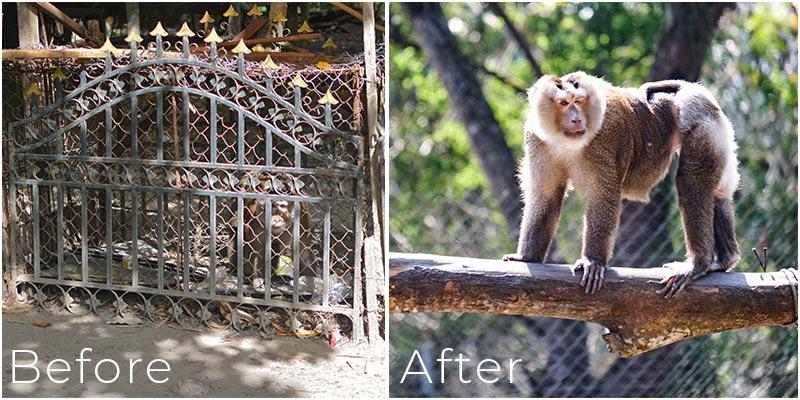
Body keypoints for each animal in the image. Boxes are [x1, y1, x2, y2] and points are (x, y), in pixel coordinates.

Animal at [504, 72, 740, 296]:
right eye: (564, 103)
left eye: (578, 101)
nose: (577, 119)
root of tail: (691, 90)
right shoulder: (536, 138)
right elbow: (546, 194)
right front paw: (527, 256)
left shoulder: (604, 137)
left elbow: (602, 196)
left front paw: (593, 261)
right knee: (718, 192)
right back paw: (725, 259)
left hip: (700, 118)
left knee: (691, 182)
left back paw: (698, 264)